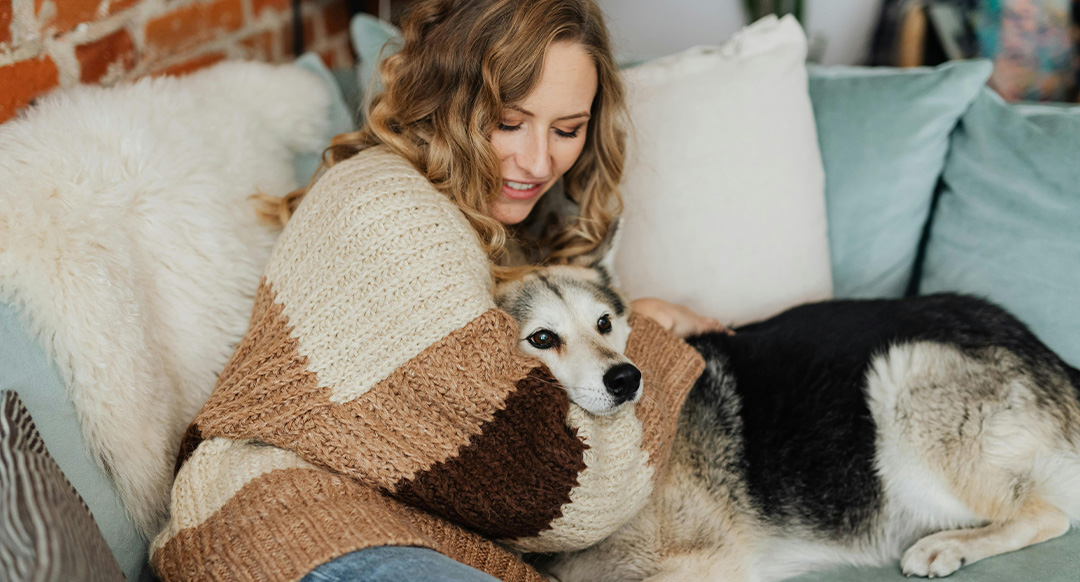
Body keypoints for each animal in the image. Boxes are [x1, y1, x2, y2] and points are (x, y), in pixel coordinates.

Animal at [492, 235, 1080, 578]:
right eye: (542, 339)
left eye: (604, 324)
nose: (626, 378)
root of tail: (1055, 358)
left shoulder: (705, 564)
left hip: (903, 375)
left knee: (1049, 514)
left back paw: (948, 547)